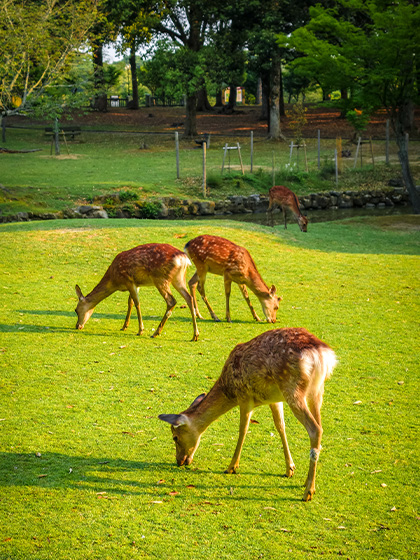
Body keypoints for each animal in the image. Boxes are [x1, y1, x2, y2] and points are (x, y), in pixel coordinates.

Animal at [159, 326, 336, 500]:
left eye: (175, 437)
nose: (179, 461)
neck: (228, 389)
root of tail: (323, 354)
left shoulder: (244, 396)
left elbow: (243, 430)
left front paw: (231, 467)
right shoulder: (274, 399)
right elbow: (280, 426)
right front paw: (289, 469)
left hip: (292, 389)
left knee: (315, 429)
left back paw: (308, 492)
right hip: (316, 391)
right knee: (319, 426)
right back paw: (306, 483)